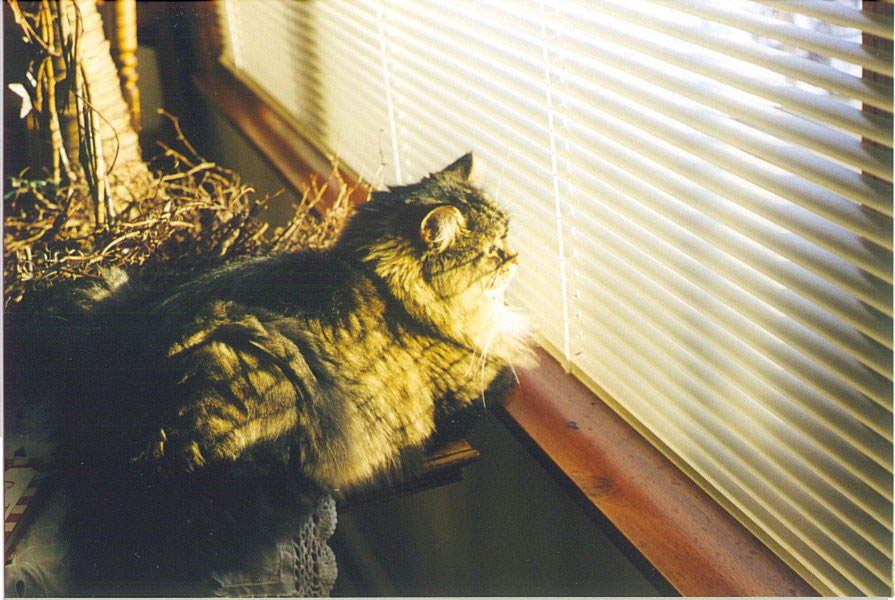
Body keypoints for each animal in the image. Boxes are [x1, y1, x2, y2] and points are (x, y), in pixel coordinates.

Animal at [43, 151, 532, 596]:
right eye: (492, 252)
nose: (516, 256)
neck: (386, 284)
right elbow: (499, 378)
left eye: (507, 237)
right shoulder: (472, 385)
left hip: (105, 287)